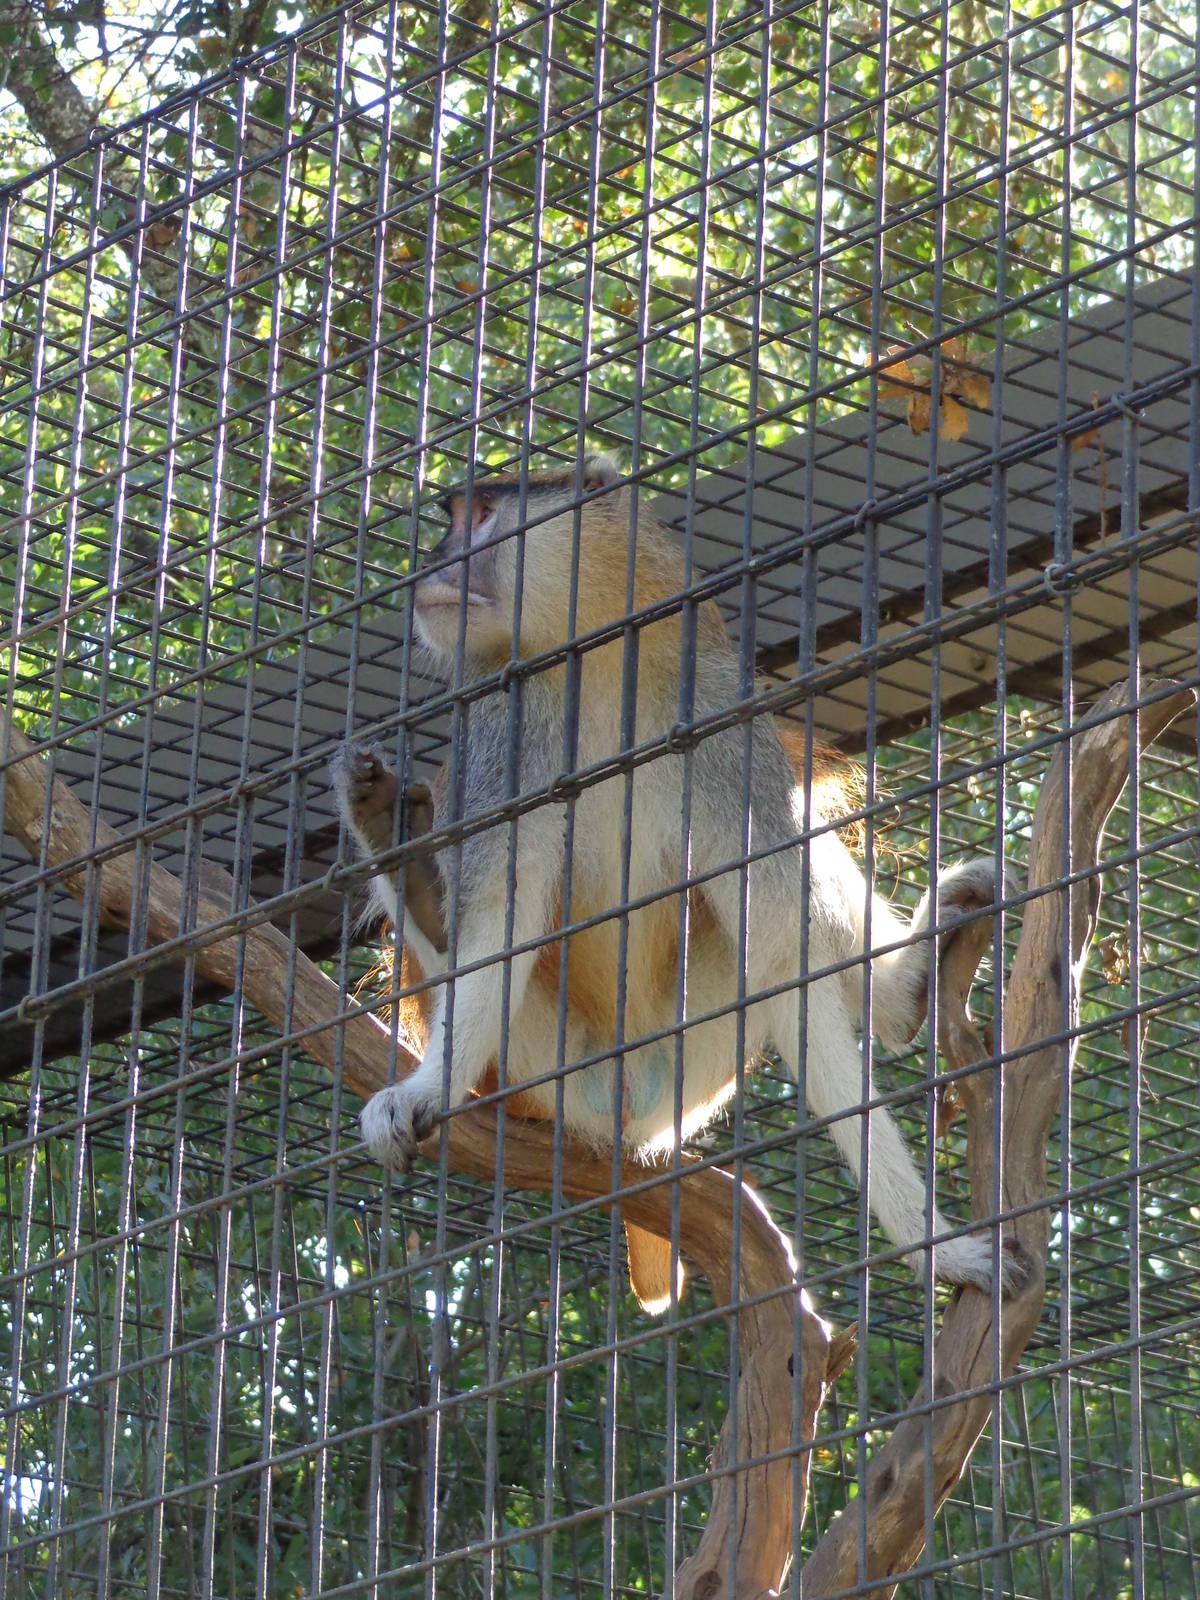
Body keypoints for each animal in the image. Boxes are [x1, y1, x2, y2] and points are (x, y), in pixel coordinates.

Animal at [331, 454, 1009, 1300]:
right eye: (450, 519)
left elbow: (779, 953)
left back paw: (901, 990)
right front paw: (423, 1092)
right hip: (541, 1064)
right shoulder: (505, 726)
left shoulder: (717, 719)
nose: (430, 565)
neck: (599, 657)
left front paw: (935, 1244)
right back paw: (396, 846)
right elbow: (497, 925)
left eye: (478, 516)